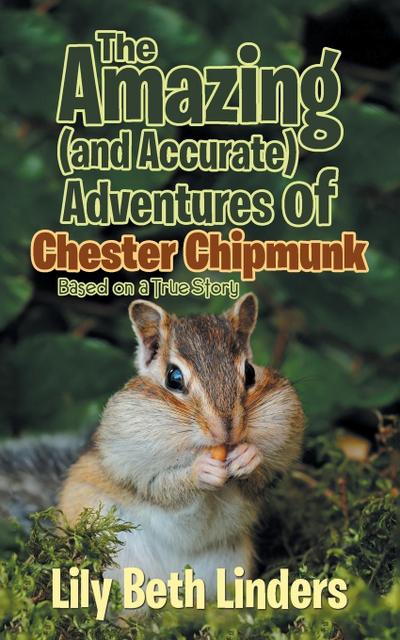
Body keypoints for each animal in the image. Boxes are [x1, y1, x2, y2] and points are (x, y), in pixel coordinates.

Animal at [56, 293, 305, 601]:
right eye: (173, 378)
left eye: (249, 372)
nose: (227, 431)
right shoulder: (132, 467)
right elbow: (162, 487)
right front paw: (201, 471)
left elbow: (263, 477)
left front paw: (249, 457)